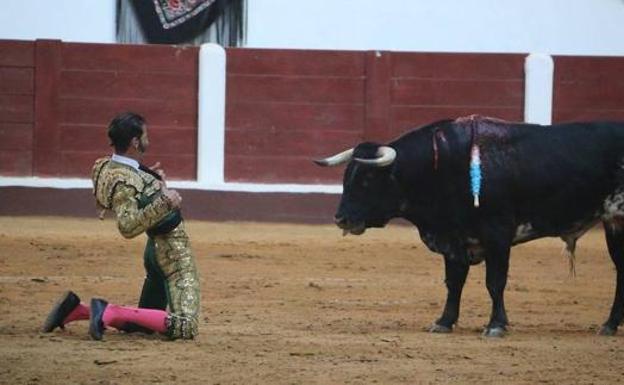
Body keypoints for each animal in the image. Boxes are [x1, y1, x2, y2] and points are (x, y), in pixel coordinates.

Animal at [316, 115, 624, 336]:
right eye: (346, 177)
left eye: (368, 179)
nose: (340, 219)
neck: (444, 166)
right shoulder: (454, 239)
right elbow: (454, 282)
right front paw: (443, 322)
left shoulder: (498, 234)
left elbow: (495, 282)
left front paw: (496, 325)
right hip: (614, 224)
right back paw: (609, 325)